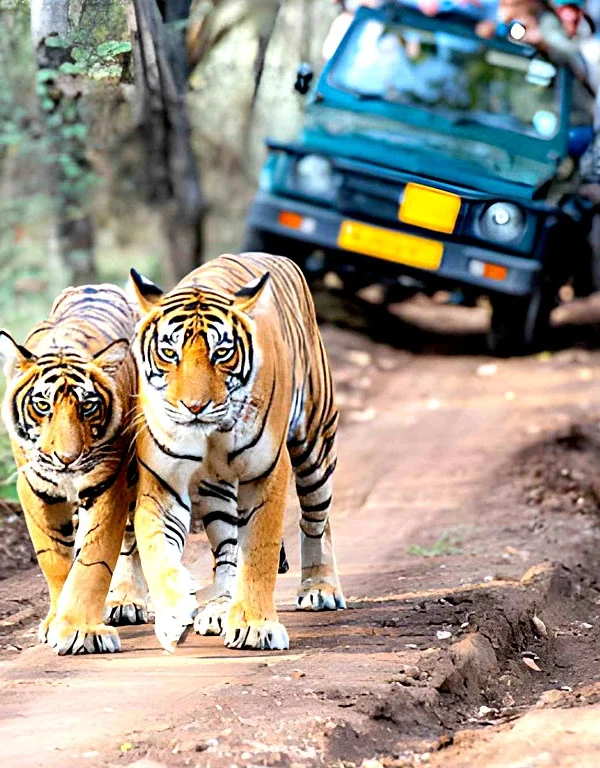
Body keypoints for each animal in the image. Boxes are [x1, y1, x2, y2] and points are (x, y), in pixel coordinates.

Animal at [0, 284, 149, 655]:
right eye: (42, 405)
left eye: (88, 406)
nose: (66, 458)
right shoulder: (34, 487)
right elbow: (54, 558)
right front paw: (56, 621)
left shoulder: (110, 483)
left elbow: (93, 560)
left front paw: (83, 630)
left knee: (129, 539)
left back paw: (126, 601)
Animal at [129, 253, 346, 653]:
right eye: (169, 353)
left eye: (221, 353)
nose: (194, 407)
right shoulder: (162, 484)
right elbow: (156, 550)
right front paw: (174, 615)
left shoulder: (266, 473)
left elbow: (259, 551)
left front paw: (255, 627)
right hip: (216, 490)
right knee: (228, 548)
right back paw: (218, 609)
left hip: (315, 445)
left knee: (315, 520)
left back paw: (320, 588)